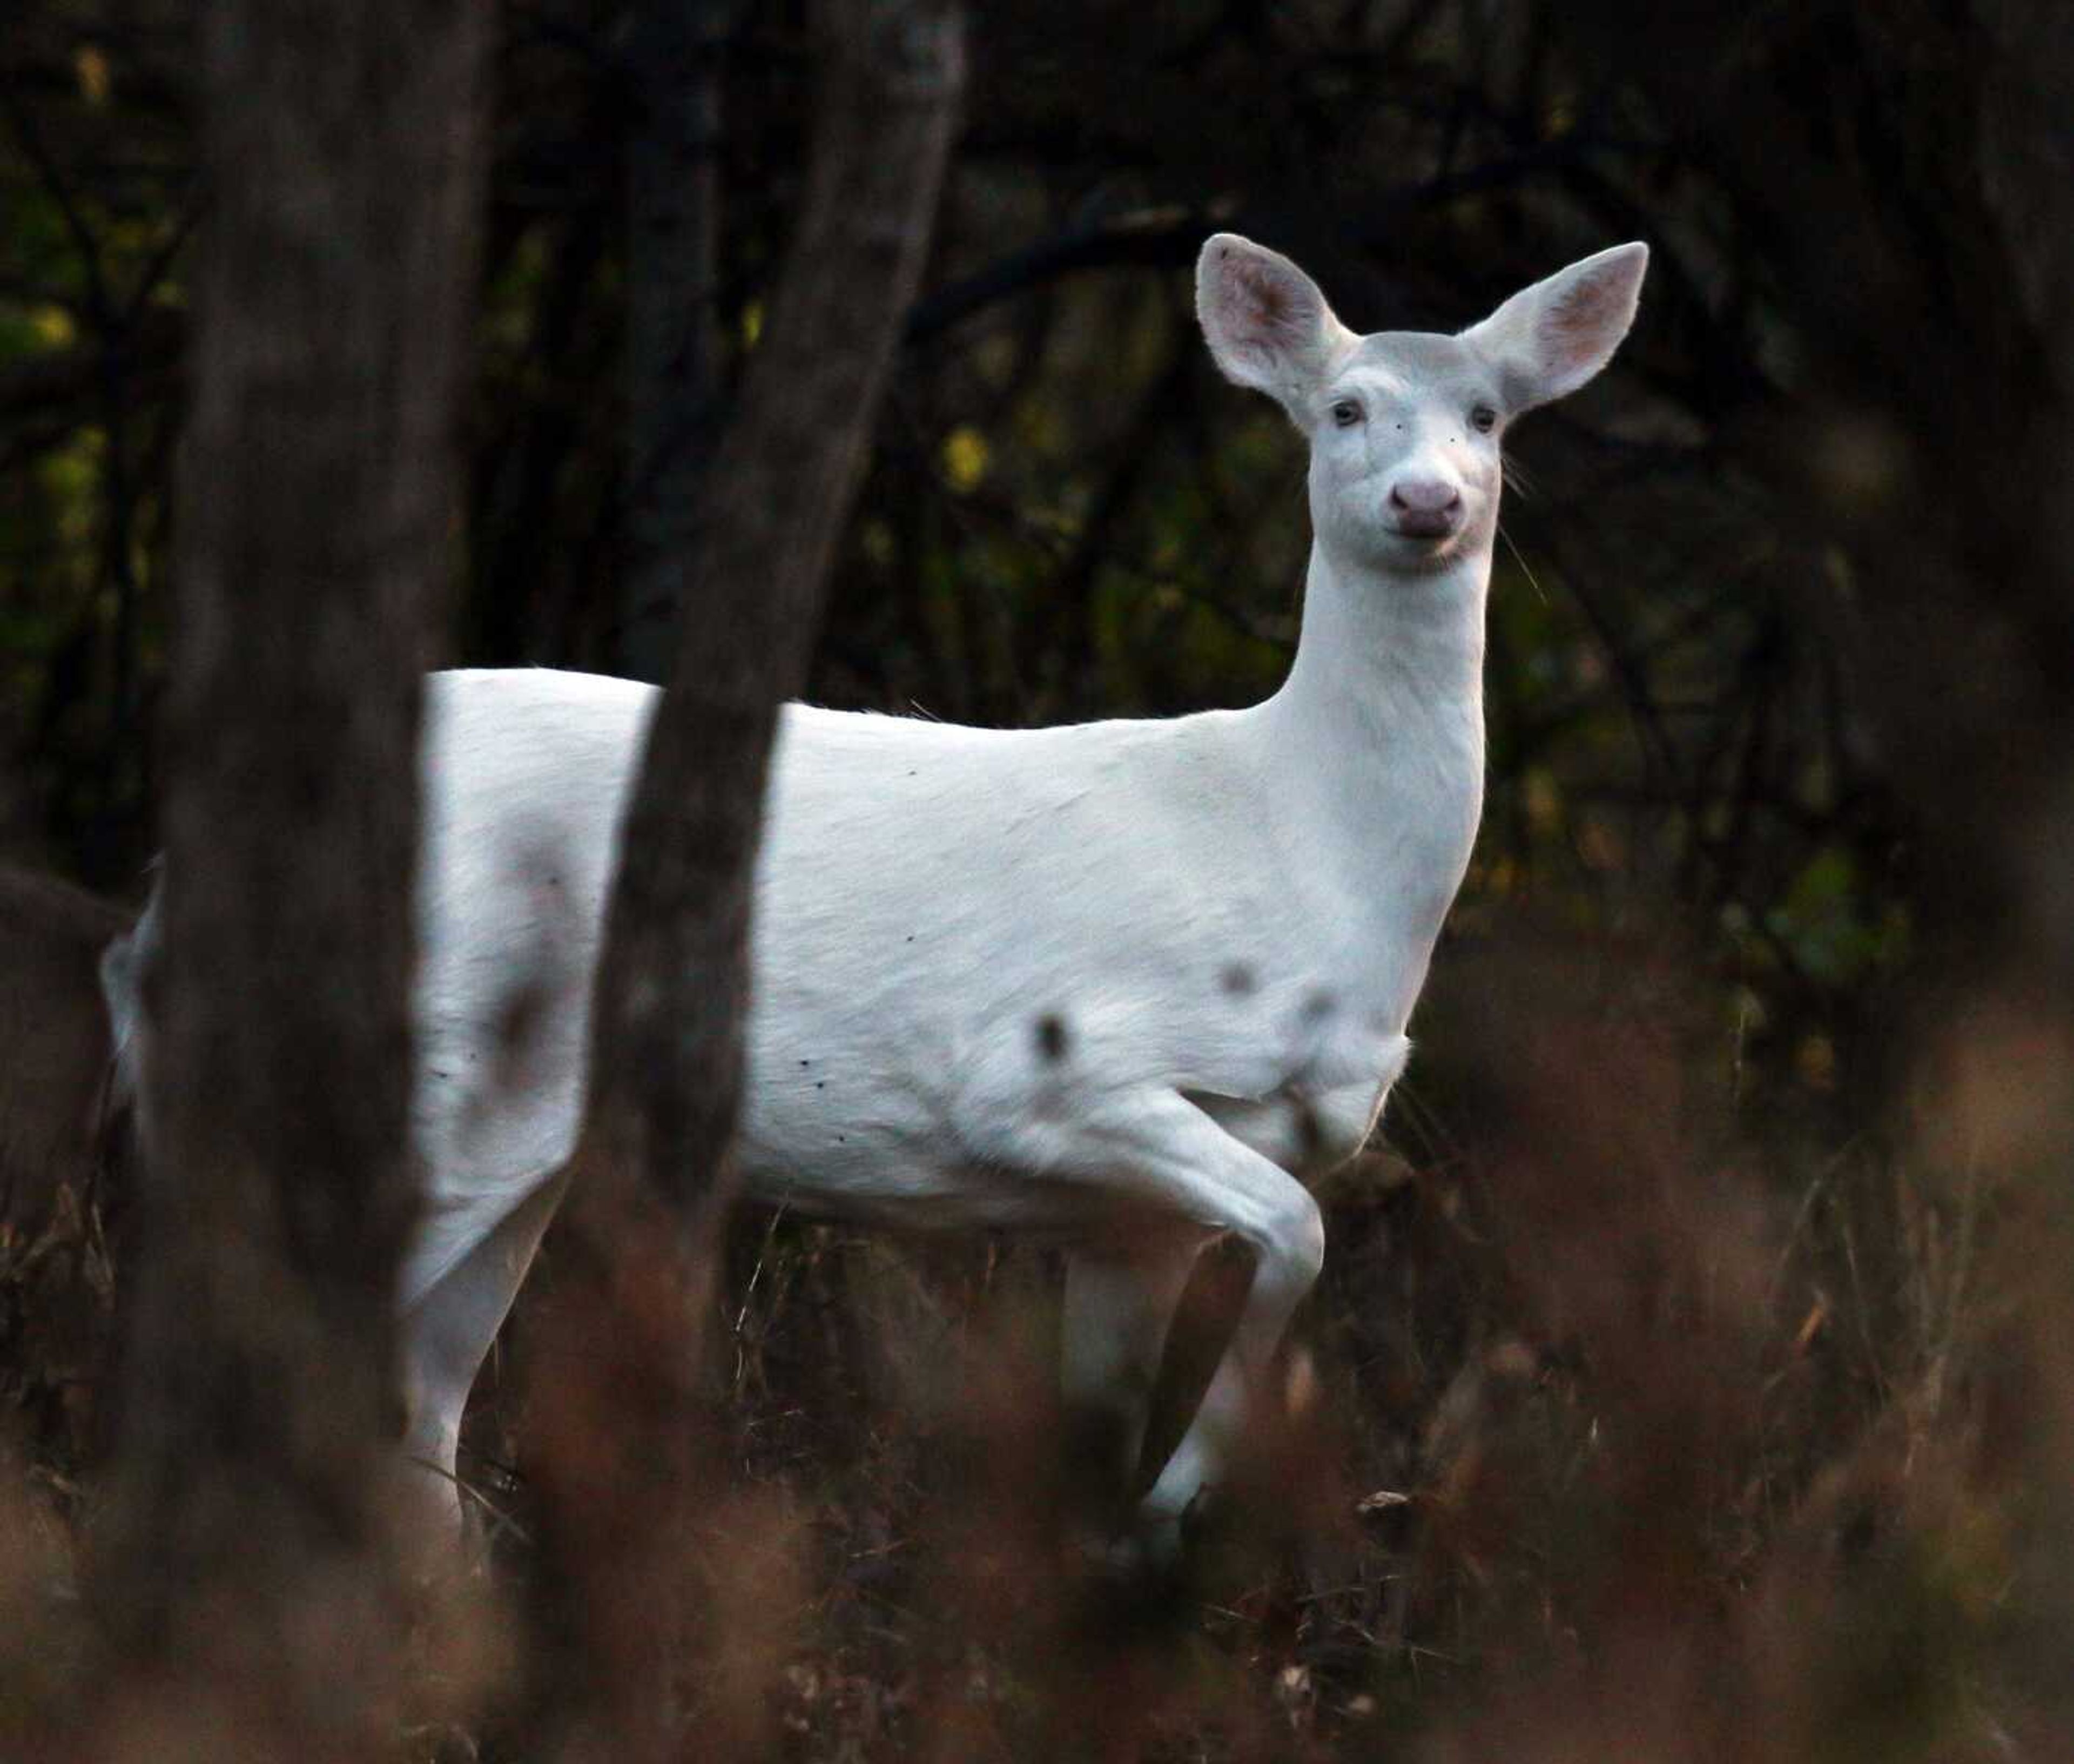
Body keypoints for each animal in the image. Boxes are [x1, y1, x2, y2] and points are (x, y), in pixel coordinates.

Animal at [101, 234, 1651, 1559]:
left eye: (1490, 418)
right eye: (1342, 409)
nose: (1426, 501)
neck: (1301, 844)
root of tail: (169, 893)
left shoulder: (1129, 1225)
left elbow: (1115, 1416)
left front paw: (1113, 1579)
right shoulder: (1043, 1069)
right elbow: (1305, 1234)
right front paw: (1182, 1504)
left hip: (512, 1134)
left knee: (415, 1398)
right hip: (428, 1057)